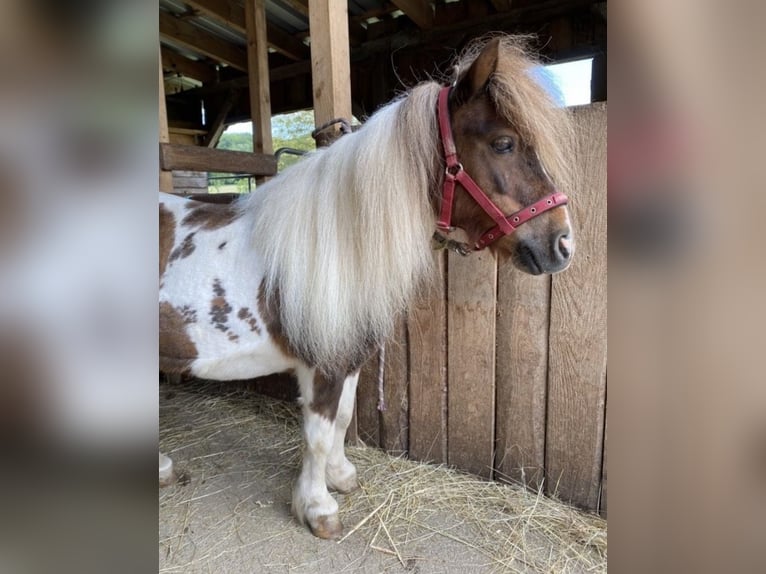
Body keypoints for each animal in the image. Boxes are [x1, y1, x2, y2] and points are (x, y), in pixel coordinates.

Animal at [158, 36, 576, 540]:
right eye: (503, 143)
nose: (562, 244)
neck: (336, 242)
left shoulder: (350, 357)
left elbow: (342, 419)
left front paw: (341, 477)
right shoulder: (324, 363)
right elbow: (318, 434)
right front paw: (318, 508)